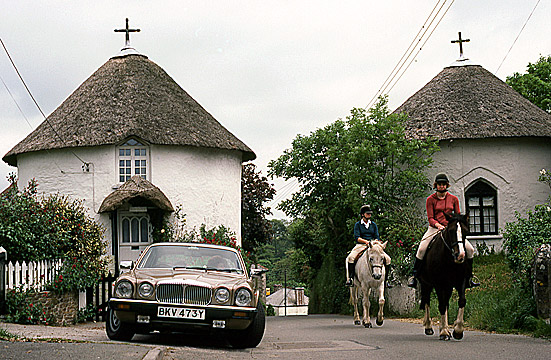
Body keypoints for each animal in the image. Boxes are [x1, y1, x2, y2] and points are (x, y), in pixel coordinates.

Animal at [418, 212, 470, 342]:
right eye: (451, 231)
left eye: (466, 231)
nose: (460, 255)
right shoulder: (438, 284)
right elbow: (441, 305)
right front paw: (444, 333)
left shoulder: (461, 281)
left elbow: (461, 301)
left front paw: (457, 331)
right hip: (426, 284)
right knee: (427, 301)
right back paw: (429, 327)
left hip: (448, 287)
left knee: (445, 303)